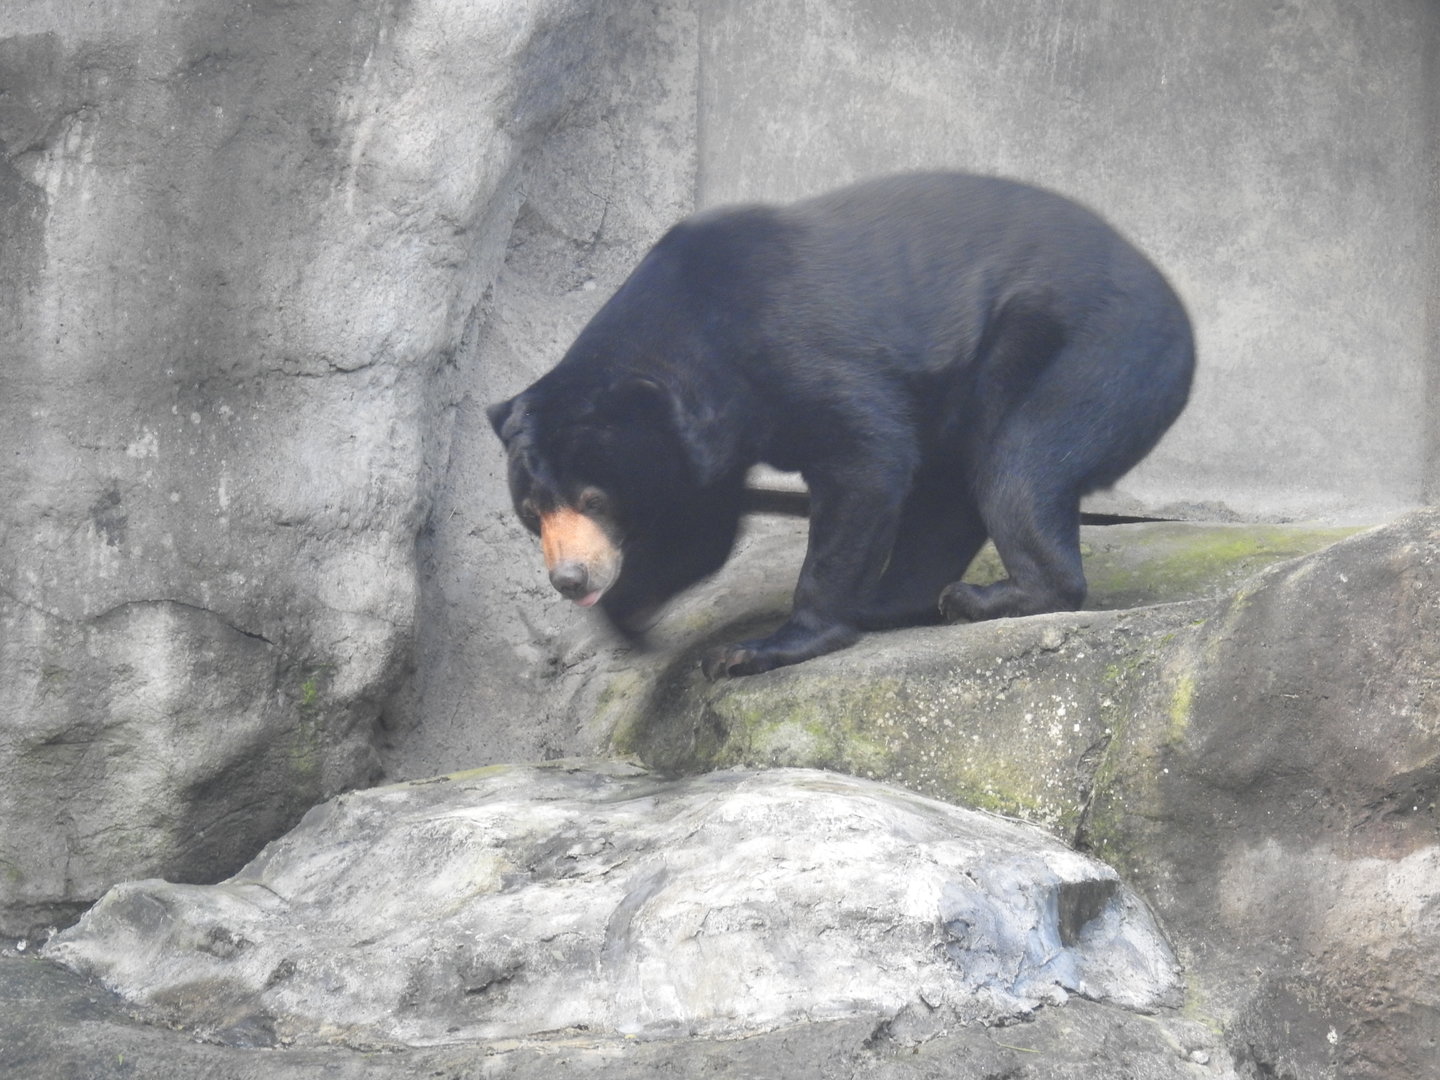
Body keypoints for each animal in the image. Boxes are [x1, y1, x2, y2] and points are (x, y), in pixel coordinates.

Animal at [488, 172, 1194, 679]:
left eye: (593, 498)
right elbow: (702, 532)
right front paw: (628, 615)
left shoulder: (793, 353)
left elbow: (866, 461)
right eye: (531, 512)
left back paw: (981, 597)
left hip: (1088, 353)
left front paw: (755, 650)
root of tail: (1180, 316)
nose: (569, 579)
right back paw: (897, 600)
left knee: (1019, 466)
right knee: (954, 491)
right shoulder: (702, 440)